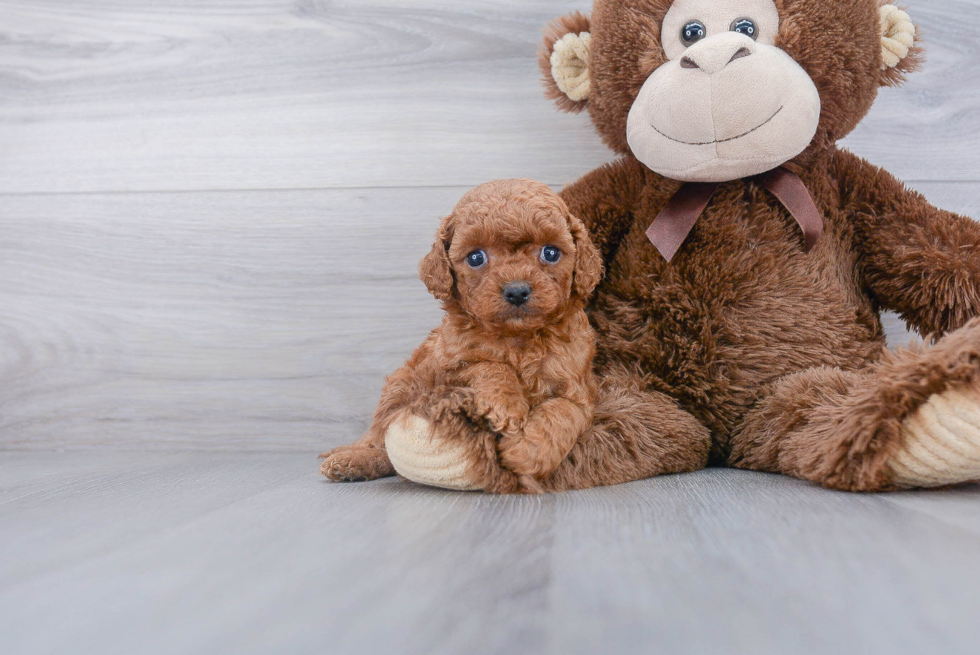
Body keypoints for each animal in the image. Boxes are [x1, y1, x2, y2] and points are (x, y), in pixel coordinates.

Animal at [318, 179, 600, 492]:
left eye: (550, 253)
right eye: (476, 257)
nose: (516, 290)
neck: (518, 337)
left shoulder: (579, 389)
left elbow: (563, 412)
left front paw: (527, 451)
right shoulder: (448, 367)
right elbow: (489, 364)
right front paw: (507, 405)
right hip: (400, 386)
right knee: (379, 438)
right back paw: (352, 461)